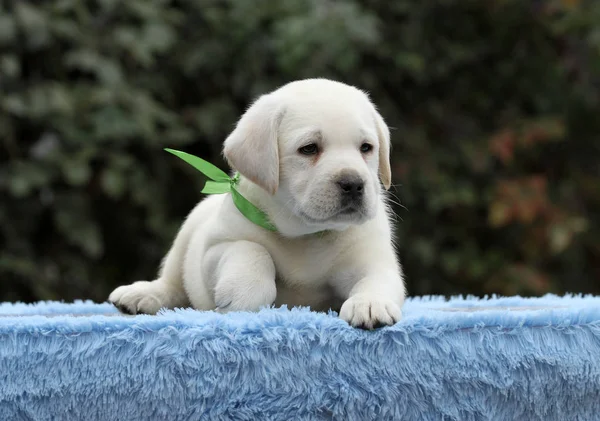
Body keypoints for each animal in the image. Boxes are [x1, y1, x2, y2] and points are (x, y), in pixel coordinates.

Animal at [109, 79, 406, 328]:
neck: (305, 235)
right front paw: (244, 292)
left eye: (366, 147)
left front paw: (370, 303)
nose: (353, 183)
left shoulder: (372, 258)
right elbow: (252, 250)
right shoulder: (214, 249)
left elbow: (378, 278)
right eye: (309, 148)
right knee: (173, 283)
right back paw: (141, 294)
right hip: (187, 234)